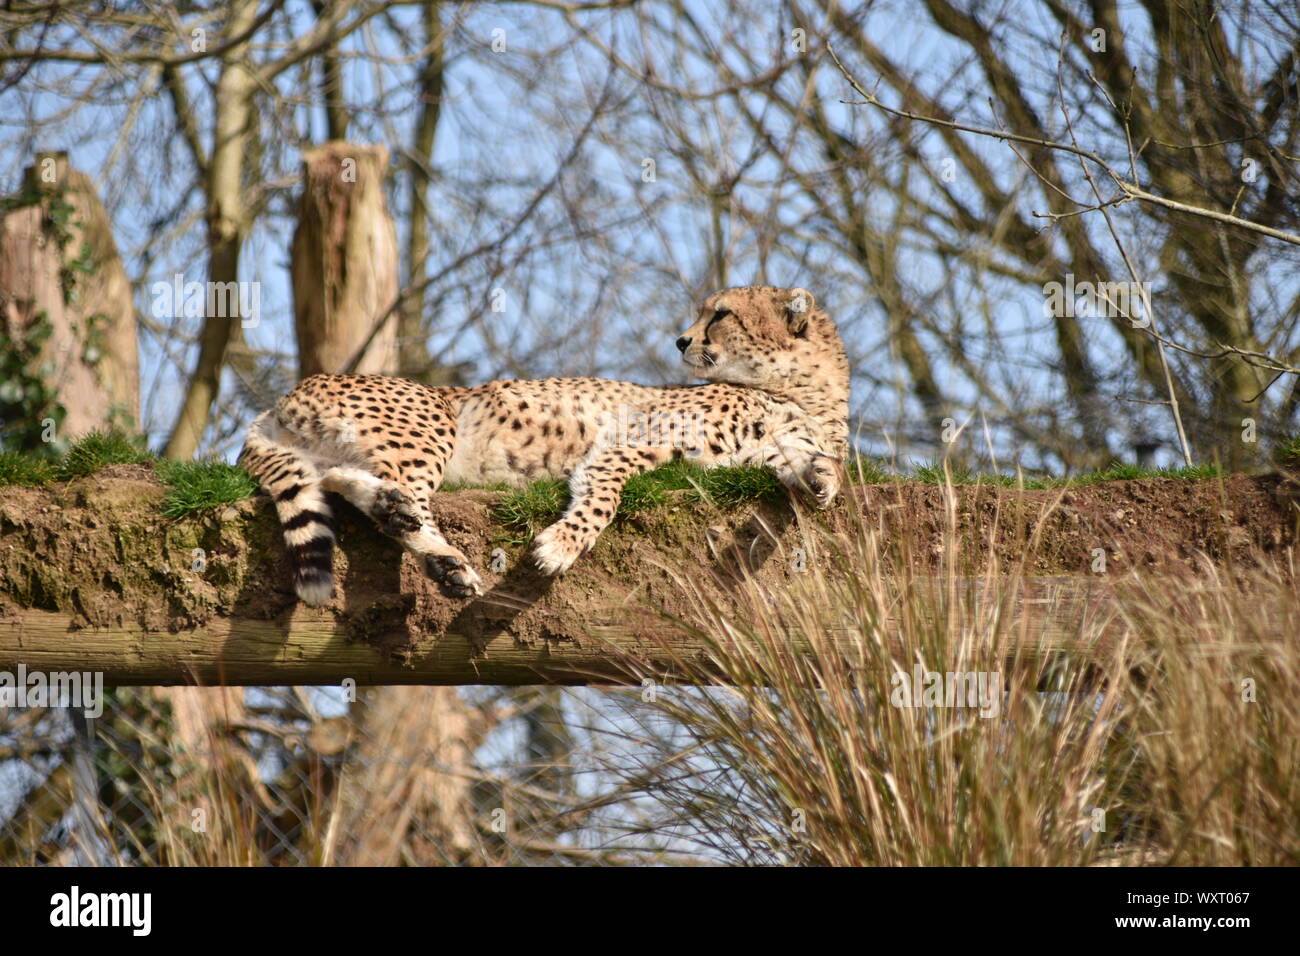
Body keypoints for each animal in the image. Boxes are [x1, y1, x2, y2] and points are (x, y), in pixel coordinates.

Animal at [241, 283, 852, 606]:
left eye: (721, 314)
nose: (681, 340)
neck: (800, 390)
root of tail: (283, 398)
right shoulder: (630, 438)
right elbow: (604, 497)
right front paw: (560, 545)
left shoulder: (770, 451)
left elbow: (814, 467)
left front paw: (822, 479)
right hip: (431, 421)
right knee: (393, 488)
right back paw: (440, 555)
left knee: (332, 477)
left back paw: (422, 544)